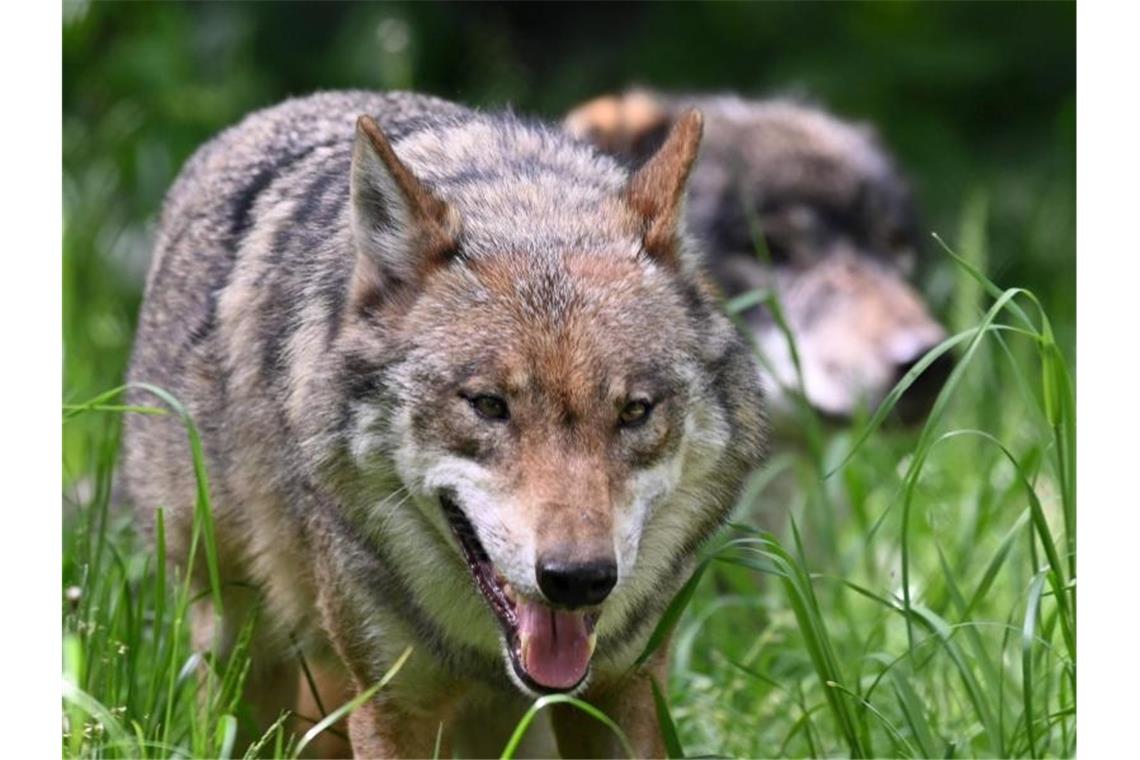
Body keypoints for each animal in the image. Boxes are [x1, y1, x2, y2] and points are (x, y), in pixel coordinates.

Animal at [122, 90, 766, 760]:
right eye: (487, 405)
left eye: (635, 411)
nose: (579, 580)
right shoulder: (391, 706)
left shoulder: (624, 686)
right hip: (239, 646)